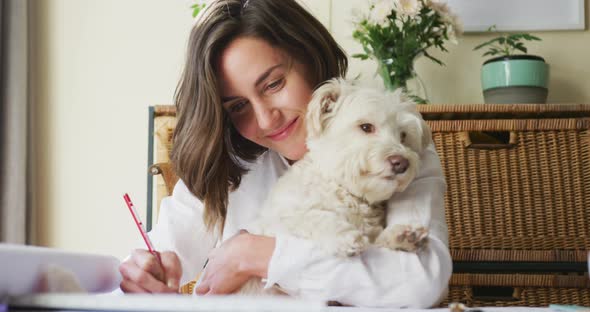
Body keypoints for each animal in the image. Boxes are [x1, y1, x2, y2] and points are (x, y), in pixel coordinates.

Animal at [242, 78, 434, 294]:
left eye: (403, 136)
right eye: (366, 127)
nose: (401, 163)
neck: (343, 190)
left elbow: (377, 241)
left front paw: (402, 236)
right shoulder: (277, 220)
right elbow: (311, 217)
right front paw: (345, 237)